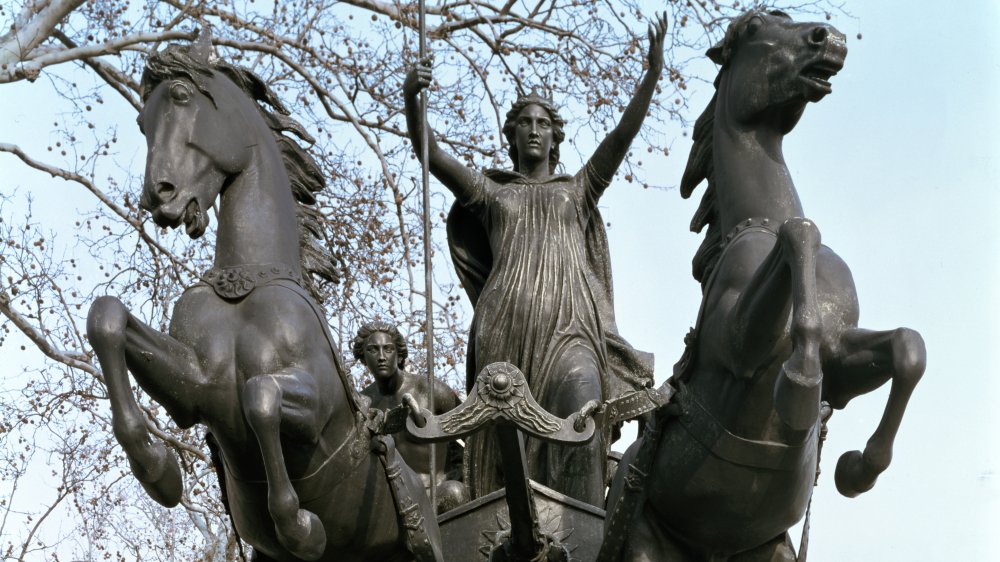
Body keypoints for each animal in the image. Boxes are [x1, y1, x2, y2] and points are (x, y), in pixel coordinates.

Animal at [84, 36, 444, 560]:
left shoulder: (315, 407)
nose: (158, 197)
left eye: (181, 96)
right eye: (141, 122)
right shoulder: (197, 388)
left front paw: (301, 527)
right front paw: (159, 470)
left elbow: (260, 396)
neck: (246, 285)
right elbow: (106, 316)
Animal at [596, 9, 924, 560]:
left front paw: (857, 468)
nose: (829, 38)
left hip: (770, 550)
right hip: (640, 542)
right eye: (753, 28)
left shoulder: (845, 359)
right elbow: (802, 231)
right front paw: (797, 389)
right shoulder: (737, 344)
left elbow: (907, 347)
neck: (761, 221)